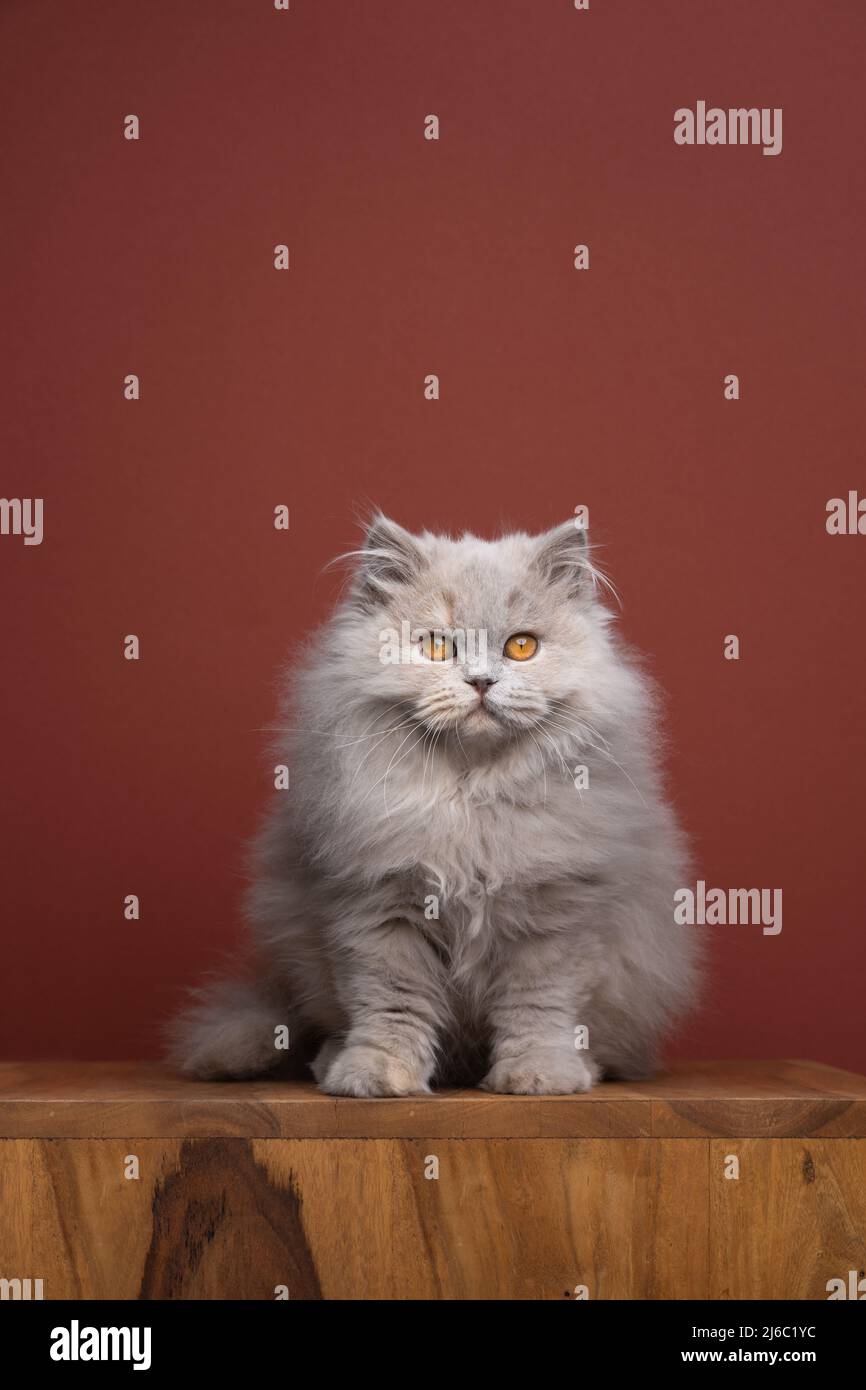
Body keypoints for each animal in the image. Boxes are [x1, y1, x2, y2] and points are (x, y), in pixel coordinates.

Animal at [166, 517, 700, 1089]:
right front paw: (376, 1074)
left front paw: (539, 1075)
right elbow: (391, 1003)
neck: (471, 797)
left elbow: (539, 1008)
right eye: (439, 648)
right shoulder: (379, 906)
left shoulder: (559, 916)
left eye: (522, 647)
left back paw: (585, 1067)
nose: (481, 681)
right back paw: (331, 1060)